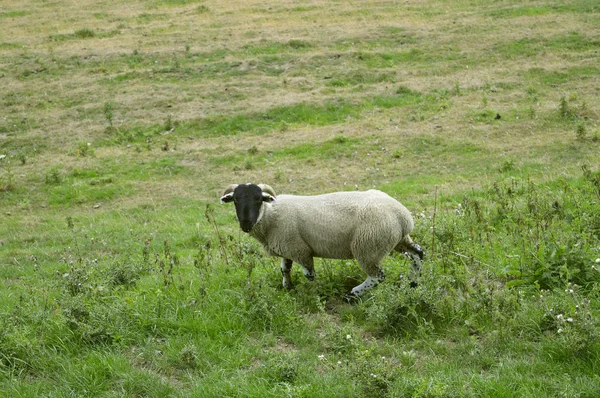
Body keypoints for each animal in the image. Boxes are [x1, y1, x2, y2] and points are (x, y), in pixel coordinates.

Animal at [219, 183, 422, 298]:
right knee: (418, 254)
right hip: (398, 240)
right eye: (235, 200)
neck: (270, 216)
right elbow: (285, 269)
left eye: (258, 199)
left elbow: (310, 275)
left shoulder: (300, 250)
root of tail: (403, 216)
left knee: (378, 276)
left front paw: (313, 294)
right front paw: (288, 288)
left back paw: (353, 294)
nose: (245, 223)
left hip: (368, 247)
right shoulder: (288, 247)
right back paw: (414, 283)